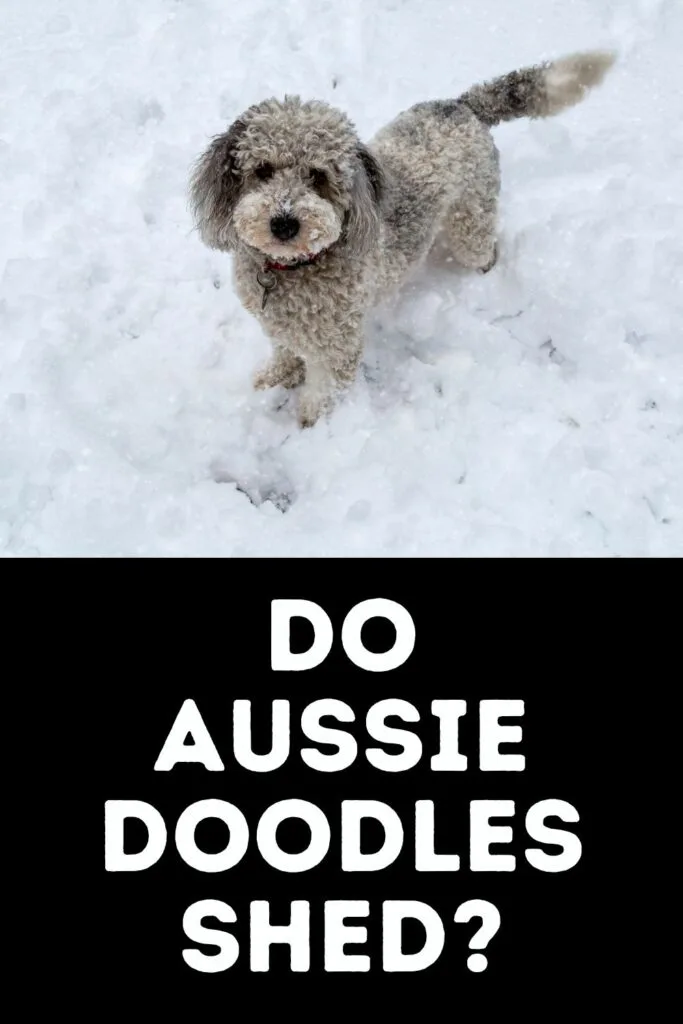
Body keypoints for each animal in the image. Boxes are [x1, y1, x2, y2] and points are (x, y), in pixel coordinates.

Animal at [189, 50, 618, 428]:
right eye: (262, 170)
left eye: (317, 176)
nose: (283, 223)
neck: (293, 267)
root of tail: (462, 106)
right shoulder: (278, 325)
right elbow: (284, 350)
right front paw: (276, 376)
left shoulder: (339, 343)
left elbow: (326, 389)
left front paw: (312, 419)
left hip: (471, 223)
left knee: (485, 249)